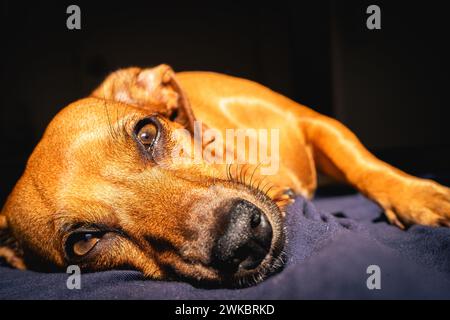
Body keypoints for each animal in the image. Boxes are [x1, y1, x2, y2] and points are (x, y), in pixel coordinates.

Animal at [0, 63, 450, 286]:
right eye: (83, 243)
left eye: (147, 132)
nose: (243, 239)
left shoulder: (314, 123)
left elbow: (366, 165)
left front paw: (420, 197)